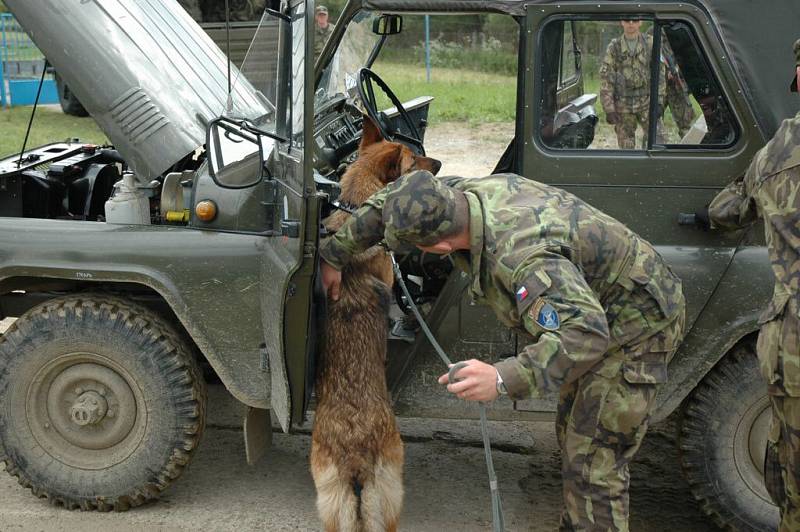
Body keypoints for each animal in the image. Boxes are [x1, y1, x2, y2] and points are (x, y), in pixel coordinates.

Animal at [310, 117, 440, 532]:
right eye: (414, 161)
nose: (439, 163)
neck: (352, 207)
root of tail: (355, 453)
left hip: (332, 508)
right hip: (392, 498)